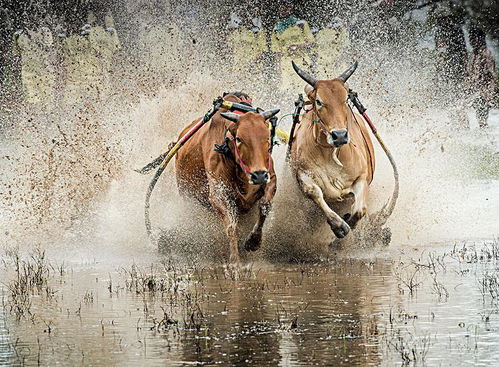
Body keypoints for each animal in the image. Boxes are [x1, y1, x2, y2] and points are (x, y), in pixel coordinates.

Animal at [175, 93, 282, 264]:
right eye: (239, 139)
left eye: (267, 138)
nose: (258, 175)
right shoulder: (218, 194)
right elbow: (232, 226)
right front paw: (234, 260)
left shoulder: (270, 178)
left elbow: (265, 206)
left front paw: (253, 241)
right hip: (187, 196)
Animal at [290, 61, 376, 240]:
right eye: (319, 101)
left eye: (344, 99)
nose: (340, 135)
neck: (330, 153)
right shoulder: (302, 173)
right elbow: (314, 192)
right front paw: (339, 226)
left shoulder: (362, 177)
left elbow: (360, 210)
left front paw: (349, 220)